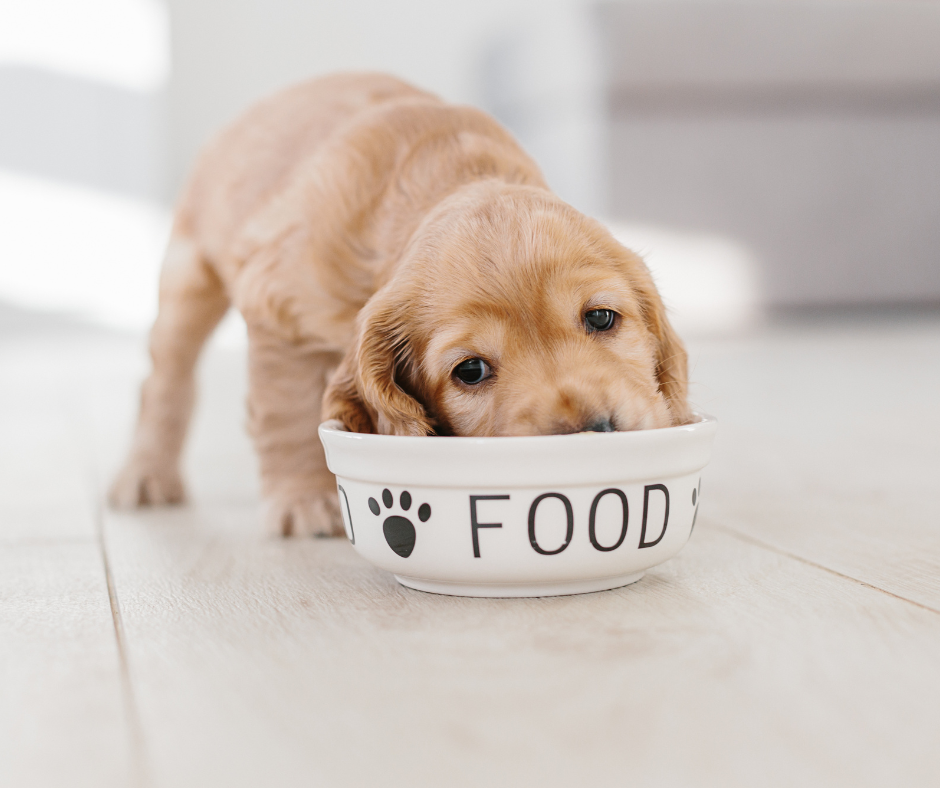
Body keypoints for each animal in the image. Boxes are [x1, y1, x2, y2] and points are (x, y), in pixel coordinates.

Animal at [108, 72, 692, 536]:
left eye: (601, 317)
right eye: (470, 370)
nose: (594, 430)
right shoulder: (280, 310)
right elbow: (287, 410)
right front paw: (302, 500)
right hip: (188, 279)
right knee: (164, 381)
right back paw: (146, 474)